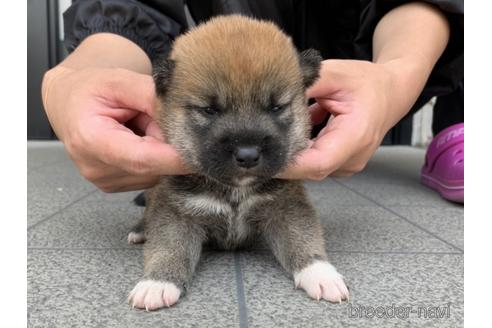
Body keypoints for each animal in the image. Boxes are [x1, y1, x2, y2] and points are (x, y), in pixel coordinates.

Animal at [127, 14, 350, 310]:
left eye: (277, 107)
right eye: (209, 110)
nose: (248, 154)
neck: (235, 190)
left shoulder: (287, 206)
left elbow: (302, 237)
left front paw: (320, 273)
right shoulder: (177, 211)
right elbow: (168, 245)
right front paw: (158, 282)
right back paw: (140, 230)